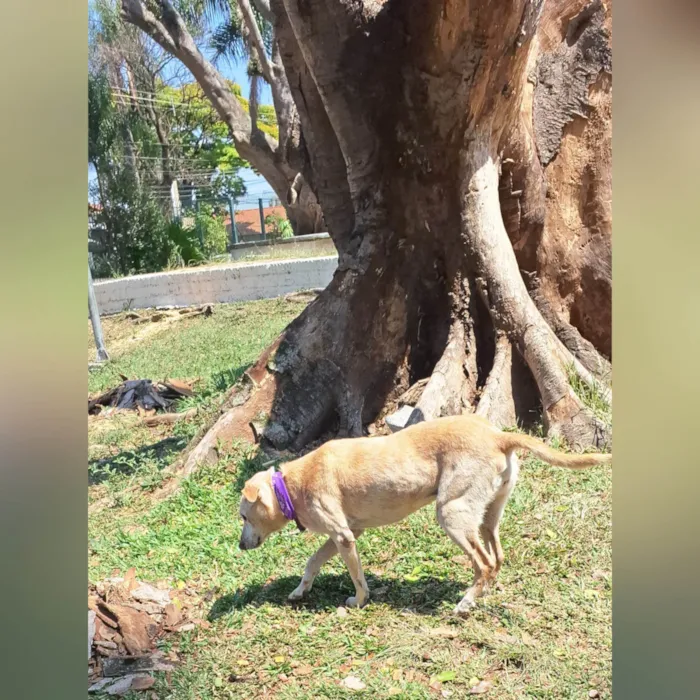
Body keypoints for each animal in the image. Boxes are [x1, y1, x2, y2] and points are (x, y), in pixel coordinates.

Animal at [238, 412, 608, 616]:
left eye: (242, 516)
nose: (240, 546)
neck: (292, 486)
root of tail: (497, 435)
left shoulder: (343, 537)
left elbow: (357, 577)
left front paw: (359, 600)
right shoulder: (347, 534)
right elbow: (312, 562)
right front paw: (300, 592)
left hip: (451, 513)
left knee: (485, 563)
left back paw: (465, 604)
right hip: (487, 516)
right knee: (497, 558)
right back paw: (480, 595)